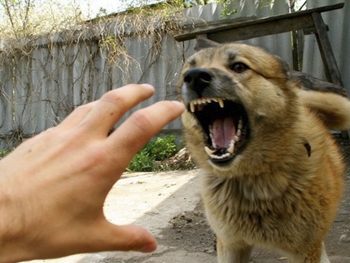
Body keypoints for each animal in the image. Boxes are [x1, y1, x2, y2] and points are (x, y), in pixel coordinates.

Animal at [178, 42, 350, 262]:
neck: (254, 180)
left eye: (239, 67)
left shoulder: (305, 250)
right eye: (188, 70)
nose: (195, 76)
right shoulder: (230, 245)